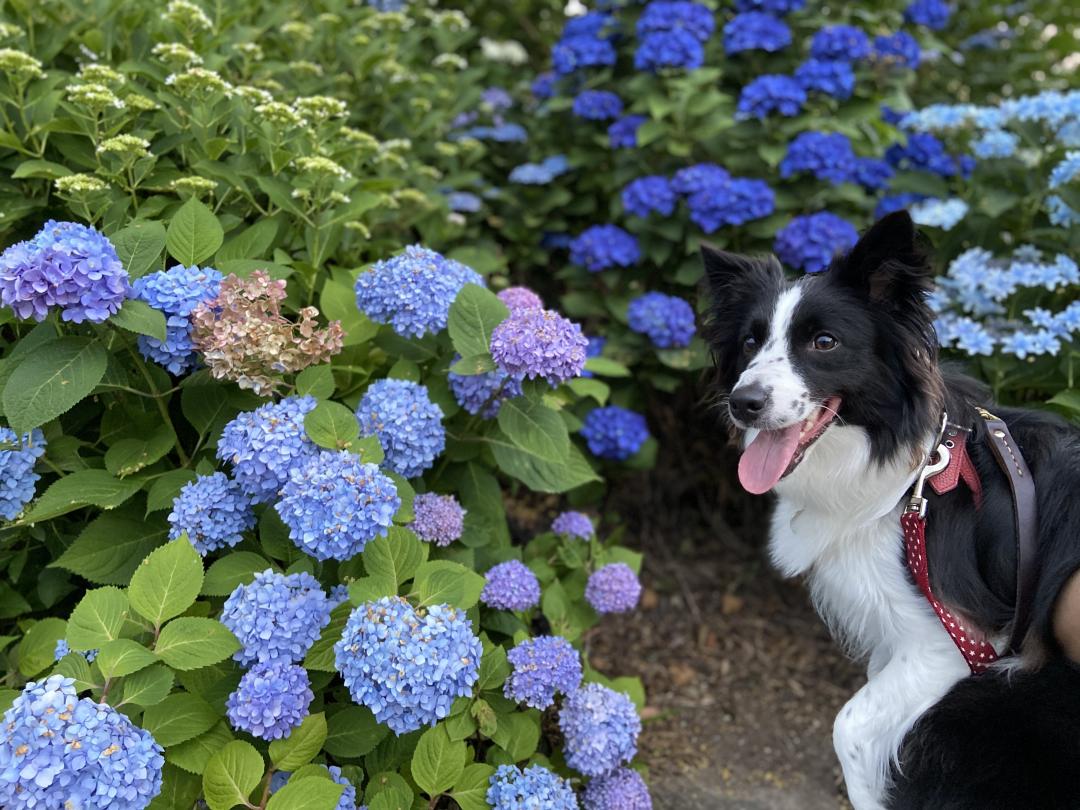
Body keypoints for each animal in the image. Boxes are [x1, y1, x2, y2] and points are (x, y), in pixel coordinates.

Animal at [704, 212, 1080, 810]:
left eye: (824, 342)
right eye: (749, 341)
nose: (744, 403)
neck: (915, 475)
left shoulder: (951, 640)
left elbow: (851, 727)